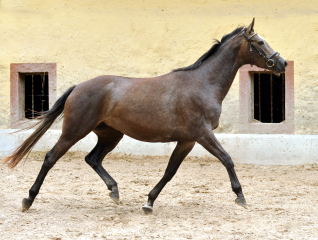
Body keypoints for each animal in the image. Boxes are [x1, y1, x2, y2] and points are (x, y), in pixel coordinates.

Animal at [2, 18, 286, 214]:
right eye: (260, 42)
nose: (281, 63)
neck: (203, 83)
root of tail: (79, 87)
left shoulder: (187, 140)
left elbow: (170, 171)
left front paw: (149, 202)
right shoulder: (202, 133)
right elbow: (227, 159)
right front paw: (240, 197)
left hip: (110, 134)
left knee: (92, 158)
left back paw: (114, 192)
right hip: (74, 131)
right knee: (51, 158)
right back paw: (28, 199)